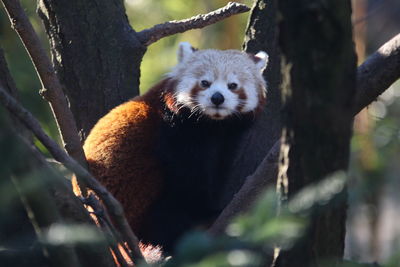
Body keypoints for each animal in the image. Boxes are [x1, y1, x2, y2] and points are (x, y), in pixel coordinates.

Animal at [82, 43, 268, 254]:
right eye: (205, 83)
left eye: (233, 85)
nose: (217, 98)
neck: (212, 126)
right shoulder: (174, 133)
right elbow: (189, 182)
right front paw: (207, 213)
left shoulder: (226, 142)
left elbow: (217, 173)